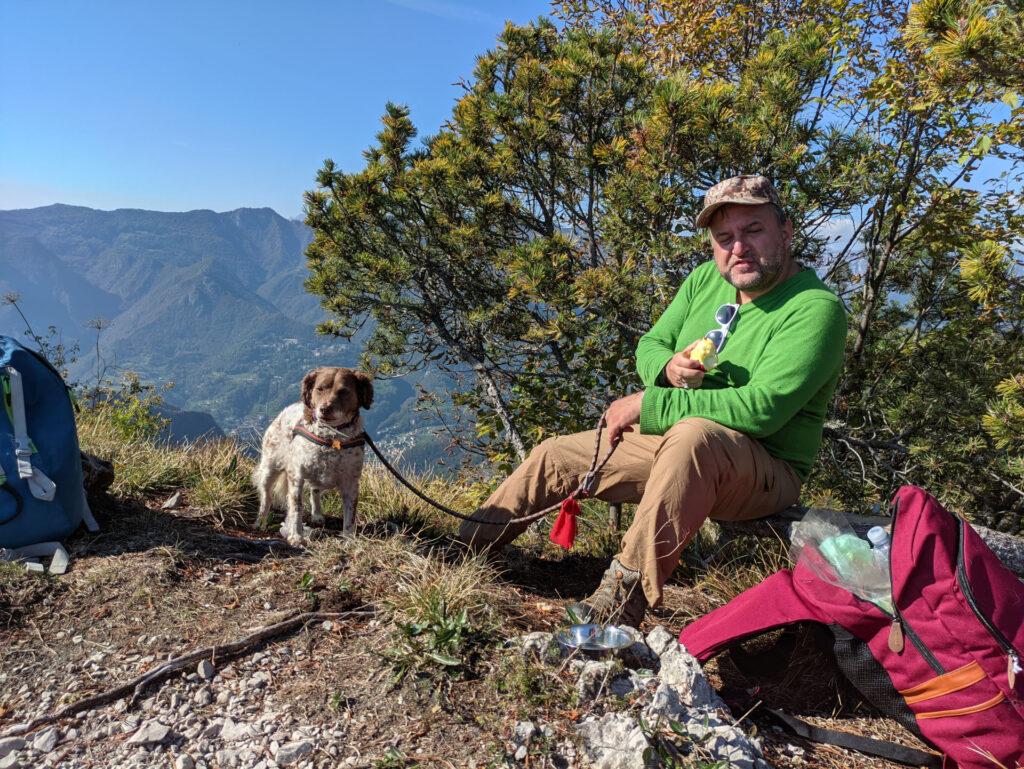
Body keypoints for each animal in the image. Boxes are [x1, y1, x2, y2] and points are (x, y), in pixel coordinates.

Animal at [253, 368, 374, 544]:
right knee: (266, 498)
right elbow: (296, 507)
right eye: (320, 389)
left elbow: (350, 515)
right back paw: (260, 520)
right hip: (270, 468)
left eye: (344, 391)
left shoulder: (351, 482)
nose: (325, 409)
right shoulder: (297, 476)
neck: (331, 438)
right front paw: (296, 535)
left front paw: (348, 539)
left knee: (315, 490)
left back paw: (317, 514)